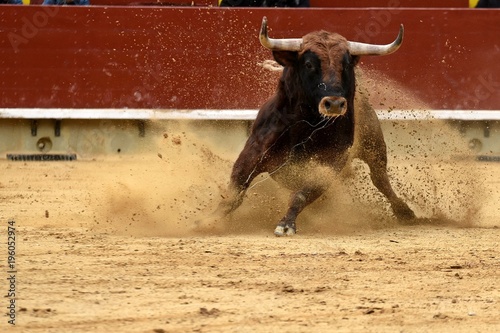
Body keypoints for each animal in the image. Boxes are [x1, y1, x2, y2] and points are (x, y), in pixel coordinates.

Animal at [197, 18, 416, 235]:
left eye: (345, 65)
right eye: (309, 64)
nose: (334, 103)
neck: (306, 125)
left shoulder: (329, 163)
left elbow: (302, 194)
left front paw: (286, 224)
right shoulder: (255, 149)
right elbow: (236, 187)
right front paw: (209, 220)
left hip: (374, 145)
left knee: (380, 179)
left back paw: (405, 212)